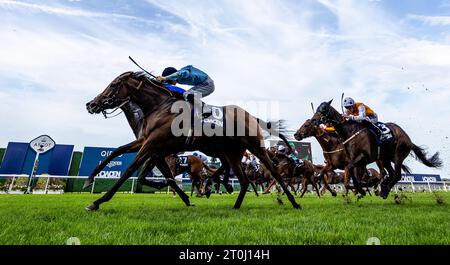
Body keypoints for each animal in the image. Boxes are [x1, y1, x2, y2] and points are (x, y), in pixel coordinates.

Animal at [85, 71, 300, 209]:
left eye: (113, 85)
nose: (91, 104)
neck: (160, 107)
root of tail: (252, 116)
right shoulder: (148, 143)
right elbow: (118, 151)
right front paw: (89, 180)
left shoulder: (153, 144)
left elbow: (131, 169)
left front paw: (98, 202)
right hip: (231, 153)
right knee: (243, 180)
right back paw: (232, 203)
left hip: (255, 146)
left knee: (273, 173)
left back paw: (295, 203)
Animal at [312, 99, 442, 198]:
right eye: (317, 108)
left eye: (324, 109)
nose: (313, 120)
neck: (350, 131)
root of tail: (408, 139)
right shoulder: (354, 160)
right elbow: (352, 173)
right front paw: (362, 189)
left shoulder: (364, 157)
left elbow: (351, 172)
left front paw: (362, 189)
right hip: (385, 158)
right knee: (390, 173)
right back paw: (383, 188)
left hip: (398, 154)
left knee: (397, 174)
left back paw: (384, 190)